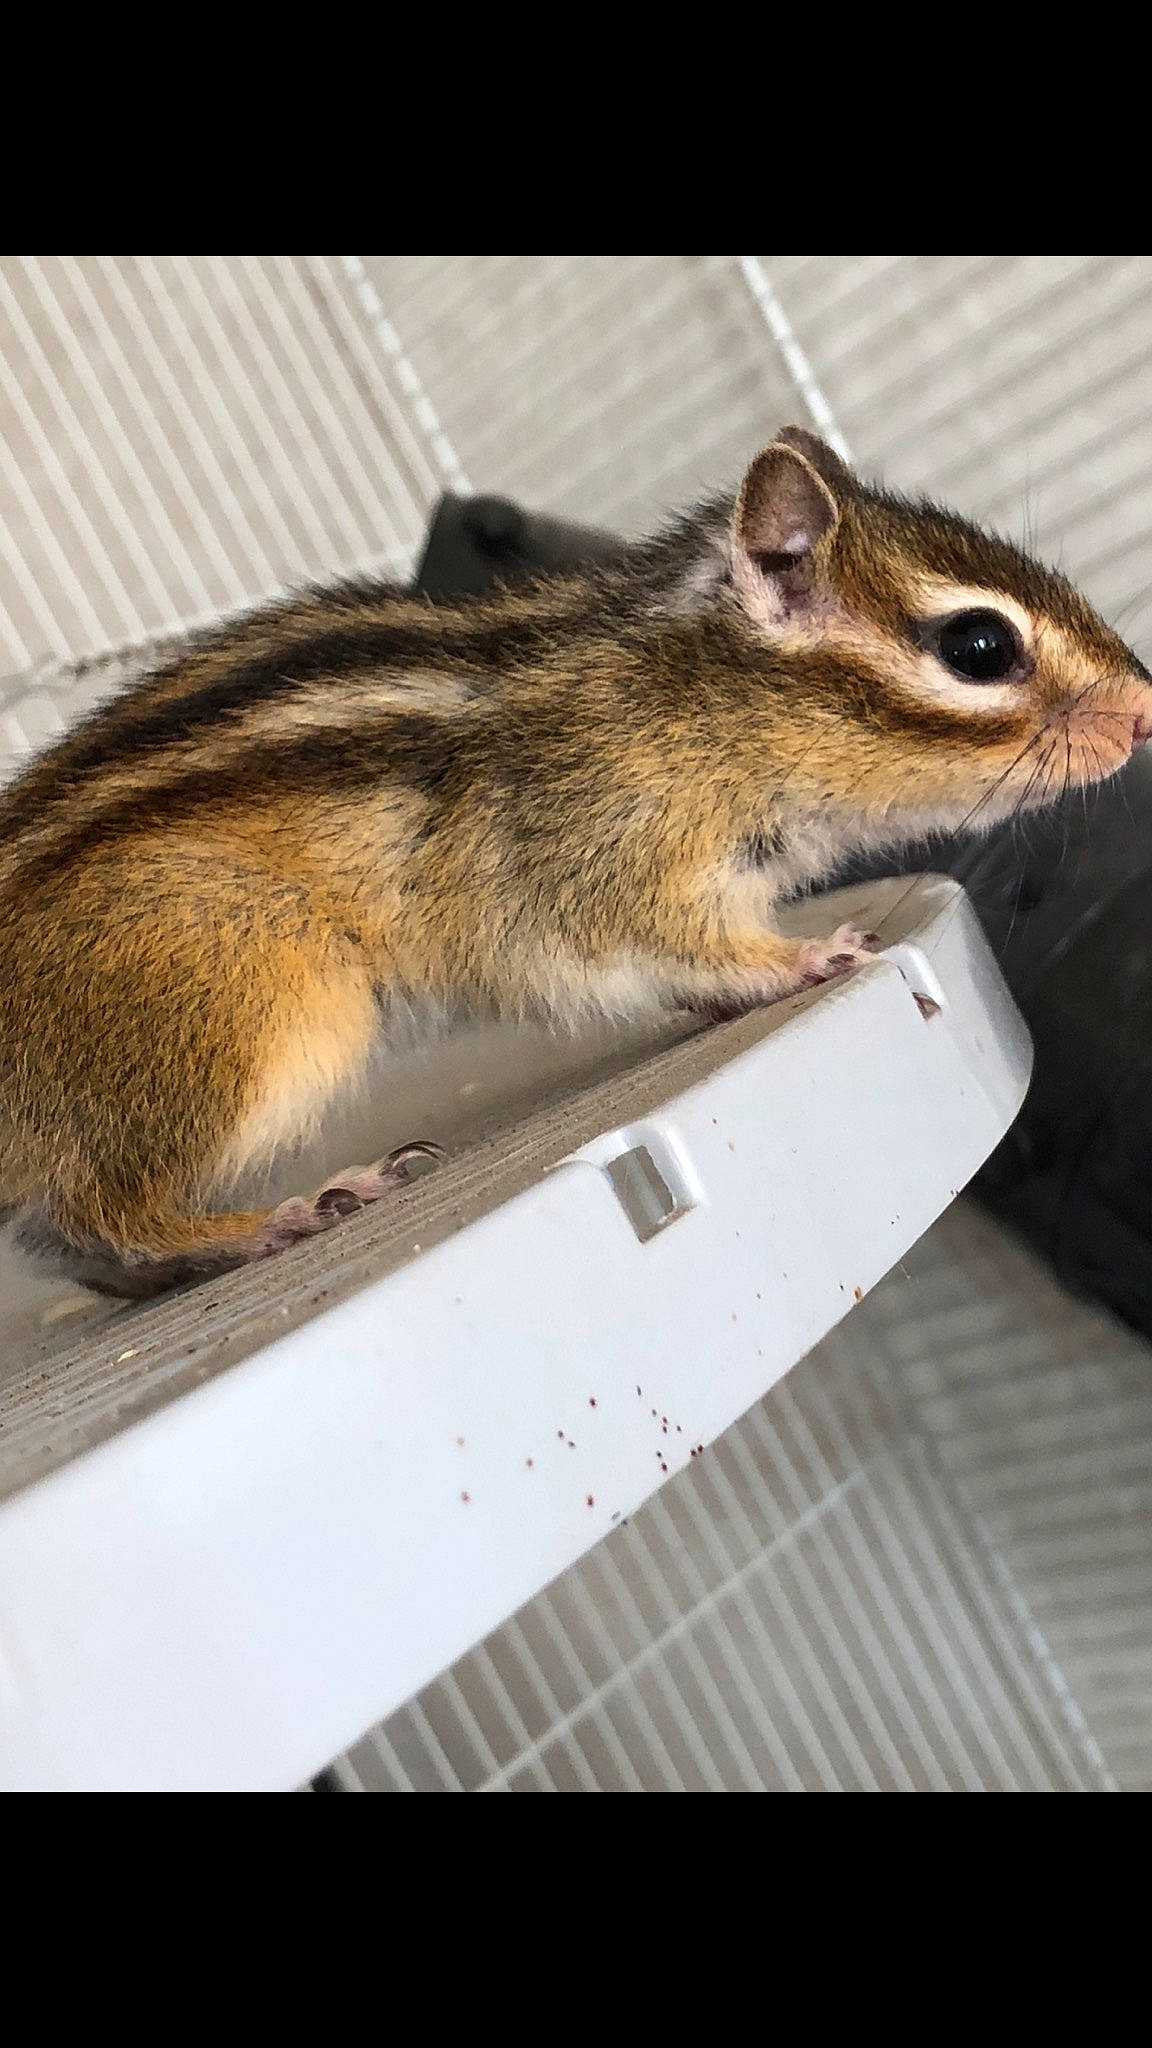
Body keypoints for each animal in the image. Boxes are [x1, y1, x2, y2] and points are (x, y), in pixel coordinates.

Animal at [1, 425, 1150, 1296]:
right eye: (980, 648)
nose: (1144, 712)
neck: (699, 696)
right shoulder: (611, 867)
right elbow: (681, 945)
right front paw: (805, 958)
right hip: (252, 999)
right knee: (101, 1211)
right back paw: (282, 1215)